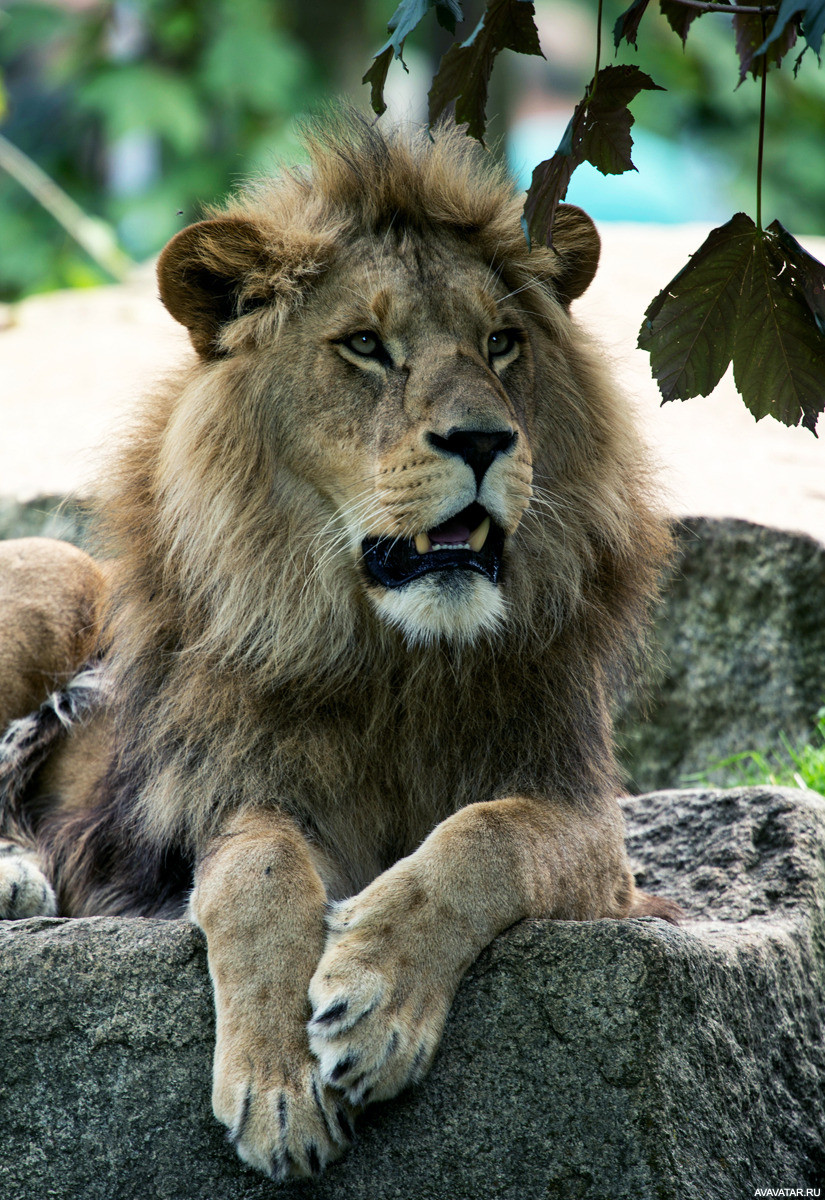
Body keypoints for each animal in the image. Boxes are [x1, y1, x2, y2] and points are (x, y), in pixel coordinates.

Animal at [0, 112, 676, 1180]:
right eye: (365, 345)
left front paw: (374, 1002)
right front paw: (279, 1087)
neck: (396, 659)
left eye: (501, 343)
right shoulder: (228, 799)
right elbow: (259, 874)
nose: (484, 440)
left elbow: (486, 836)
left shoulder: (588, 830)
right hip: (51, 573)